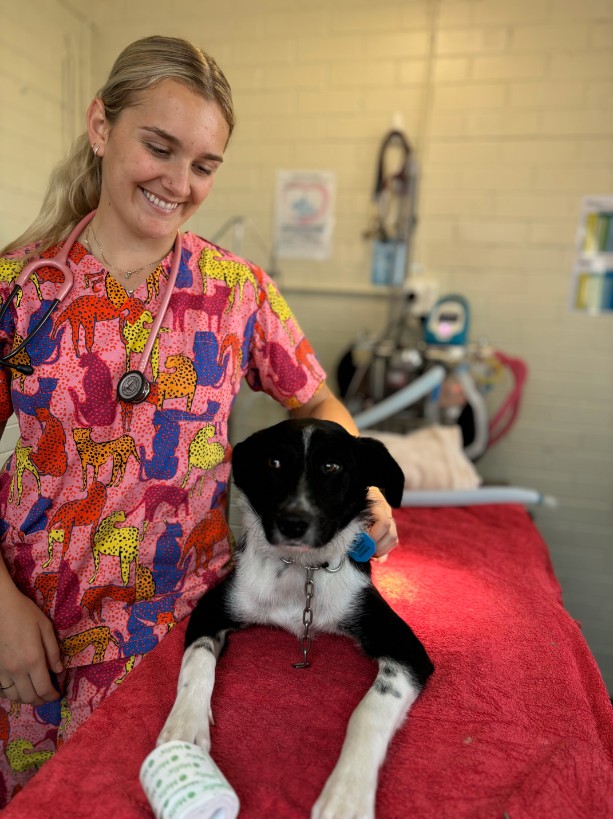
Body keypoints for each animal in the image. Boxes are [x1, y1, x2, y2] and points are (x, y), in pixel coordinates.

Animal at [160, 422, 432, 819]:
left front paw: (347, 794)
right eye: (273, 462)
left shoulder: (405, 647)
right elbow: (197, 665)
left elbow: (370, 710)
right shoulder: (211, 608)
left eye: (332, 467)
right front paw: (184, 726)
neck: (300, 570)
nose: (292, 523)